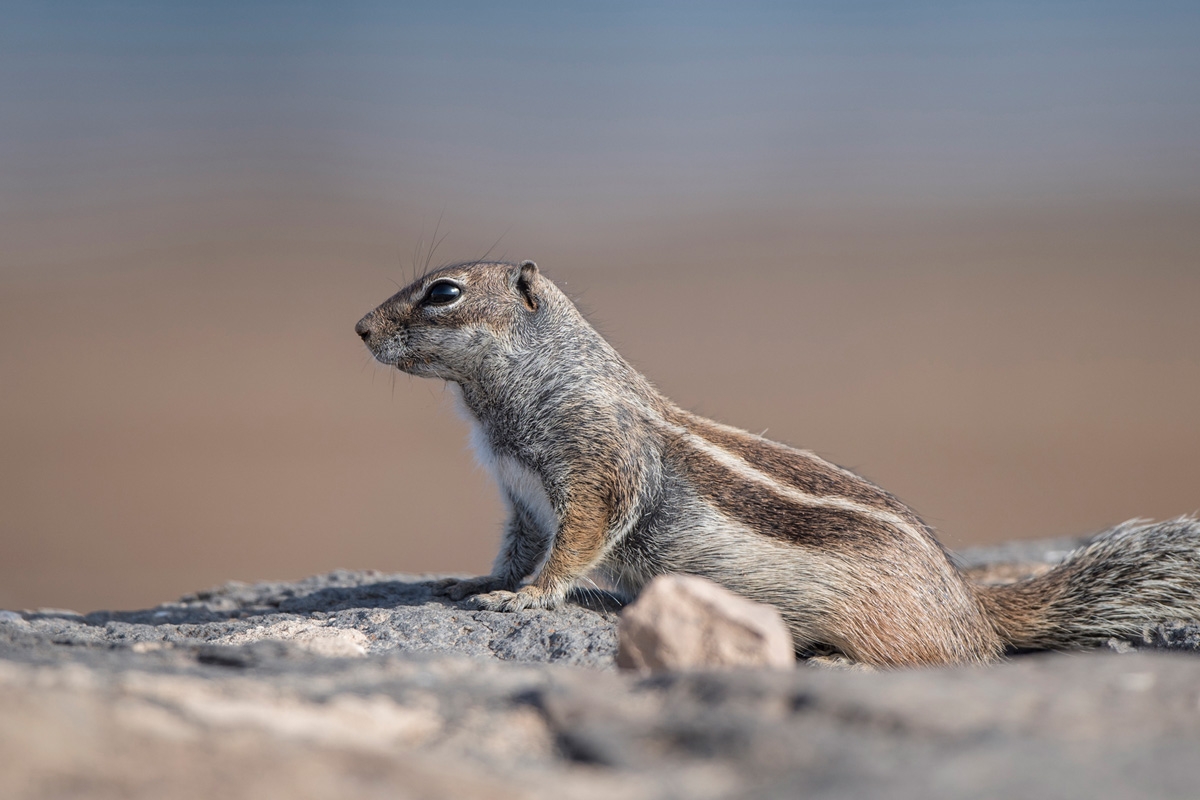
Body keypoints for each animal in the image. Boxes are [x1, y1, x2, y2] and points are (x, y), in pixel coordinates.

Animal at [355, 260, 1200, 666]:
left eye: (444, 292)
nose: (359, 328)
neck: (502, 403)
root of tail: (971, 606)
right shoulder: (522, 497)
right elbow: (517, 546)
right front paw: (478, 583)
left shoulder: (597, 464)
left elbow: (580, 541)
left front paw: (527, 599)